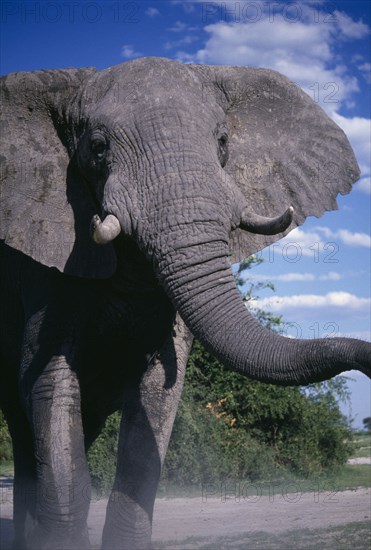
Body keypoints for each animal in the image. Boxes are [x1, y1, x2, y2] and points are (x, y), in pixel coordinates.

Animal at [0, 57, 370, 550]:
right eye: (97, 148)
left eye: (223, 141)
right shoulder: (48, 262)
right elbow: (48, 382)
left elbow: (157, 396)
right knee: (24, 426)